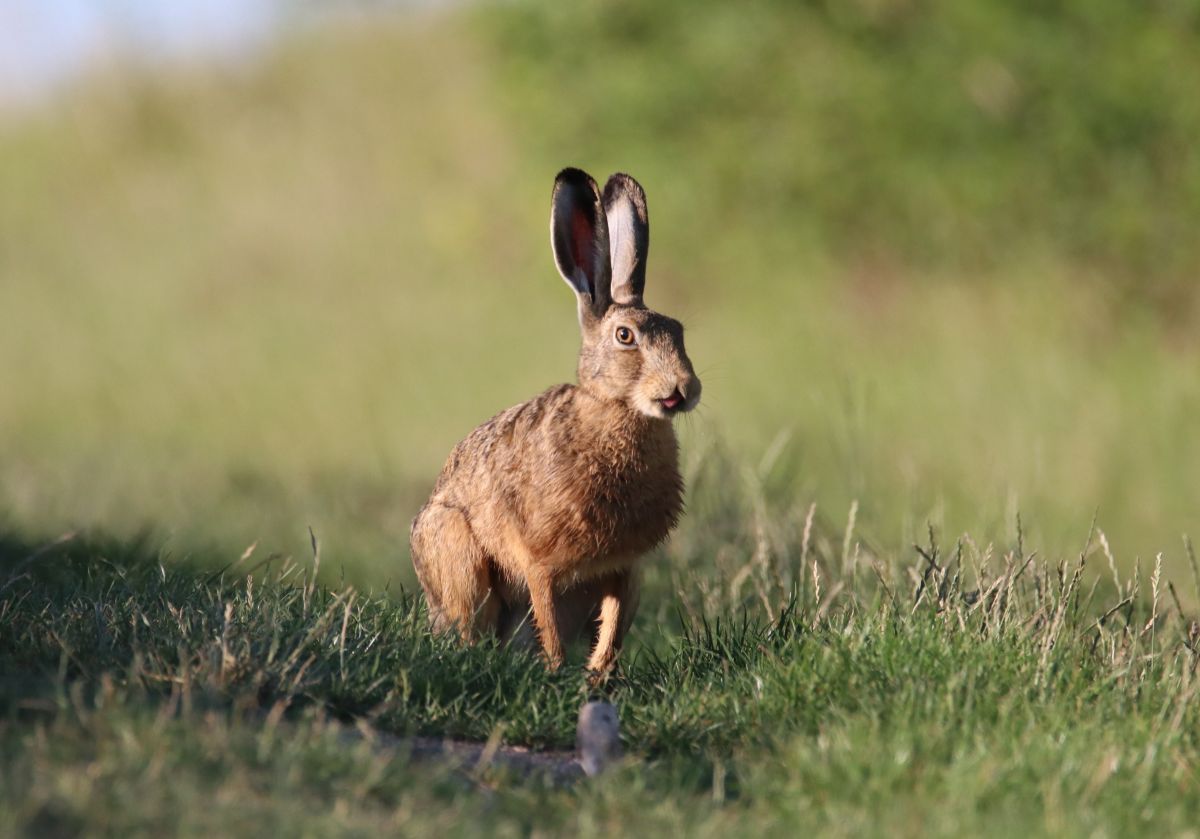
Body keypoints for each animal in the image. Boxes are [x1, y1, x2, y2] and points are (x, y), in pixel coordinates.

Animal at [409, 167, 700, 675]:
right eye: (625, 336)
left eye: (678, 332)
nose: (685, 389)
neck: (616, 412)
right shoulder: (539, 561)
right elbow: (547, 617)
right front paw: (560, 673)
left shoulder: (624, 568)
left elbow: (611, 627)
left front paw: (597, 677)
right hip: (459, 560)